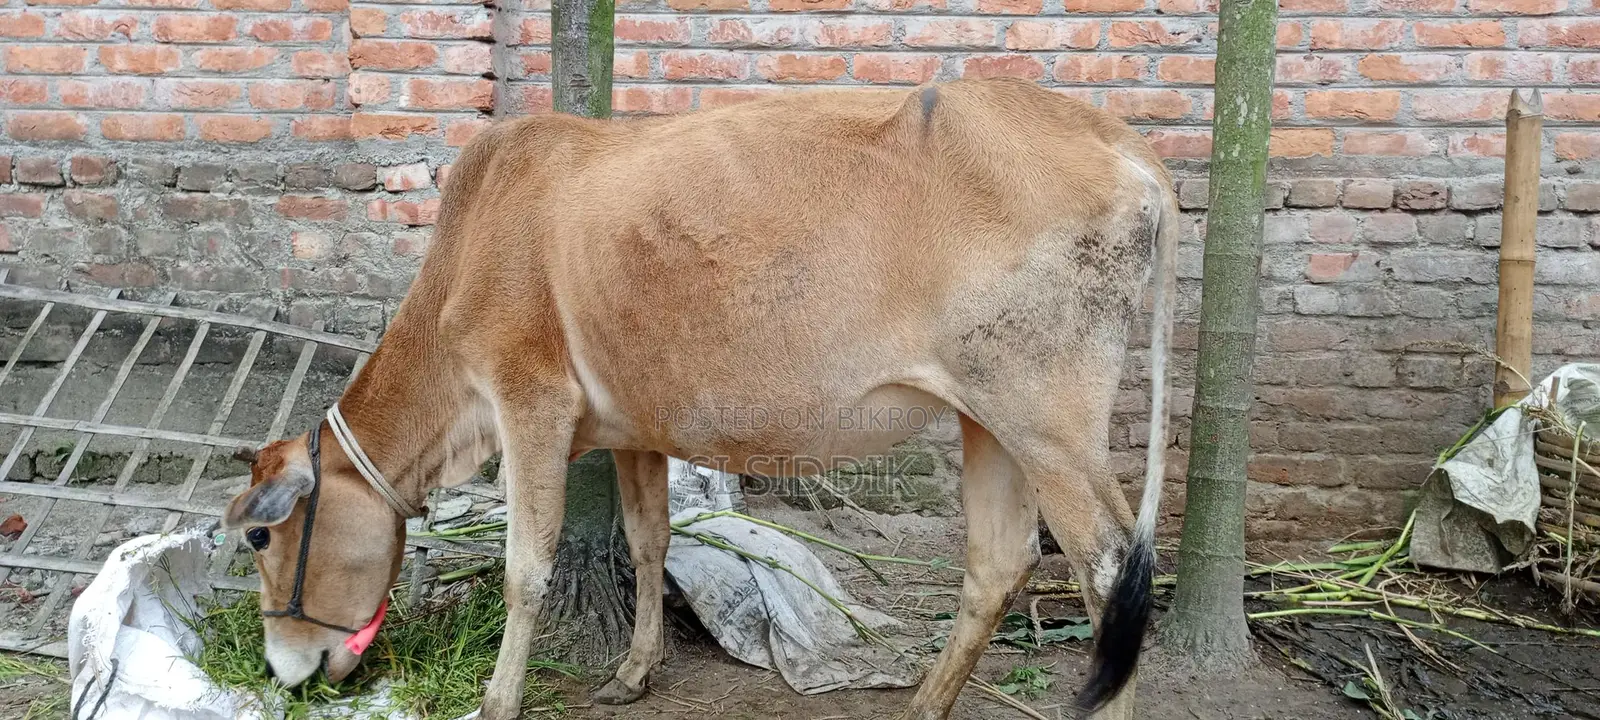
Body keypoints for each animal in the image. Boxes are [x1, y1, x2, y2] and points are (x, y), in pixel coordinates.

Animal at [222, 76, 1178, 720]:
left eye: (260, 537)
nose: (282, 668)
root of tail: (1119, 142)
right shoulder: (633, 428)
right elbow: (649, 542)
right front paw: (633, 671)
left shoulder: (528, 401)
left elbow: (528, 566)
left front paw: (496, 698)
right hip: (989, 417)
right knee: (999, 561)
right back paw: (921, 707)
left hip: (1047, 416)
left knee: (1106, 570)